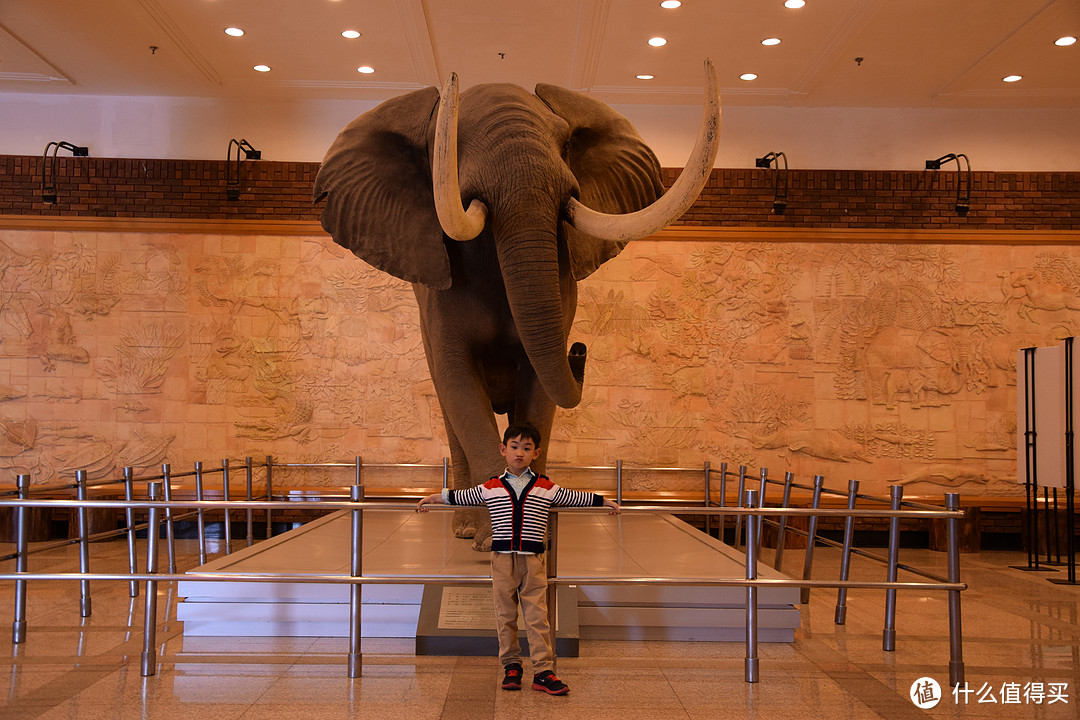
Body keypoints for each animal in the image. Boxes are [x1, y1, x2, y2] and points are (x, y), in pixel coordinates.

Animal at [313, 62, 717, 548]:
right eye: (448, 145)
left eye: (565, 142)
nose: (579, 349)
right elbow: (459, 382)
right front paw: (490, 540)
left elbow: (540, 389)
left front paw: (543, 532)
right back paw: (463, 530)